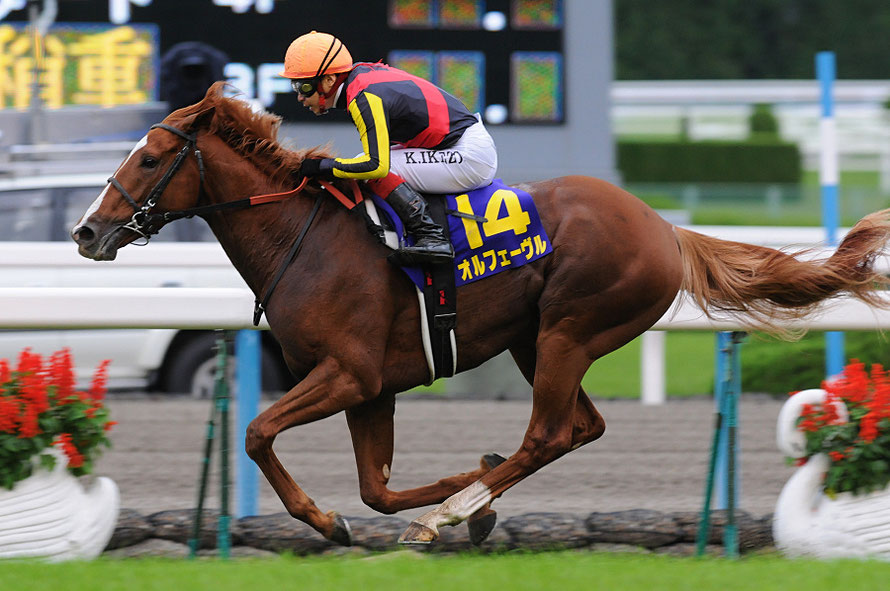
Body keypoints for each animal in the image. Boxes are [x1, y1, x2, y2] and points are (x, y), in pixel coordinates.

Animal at [71, 82, 888, 544]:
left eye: (150, 159)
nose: (86, 231)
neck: (304, 237)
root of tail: (664, 228)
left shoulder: (348, 373)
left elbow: (257, 432)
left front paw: (335, 519)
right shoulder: (372, 387)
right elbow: (375, 488)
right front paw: (422, 502)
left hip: (569, 329)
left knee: (548, 432)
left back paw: (455, 512)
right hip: (538, 340)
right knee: (577, 429)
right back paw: (472, 497)